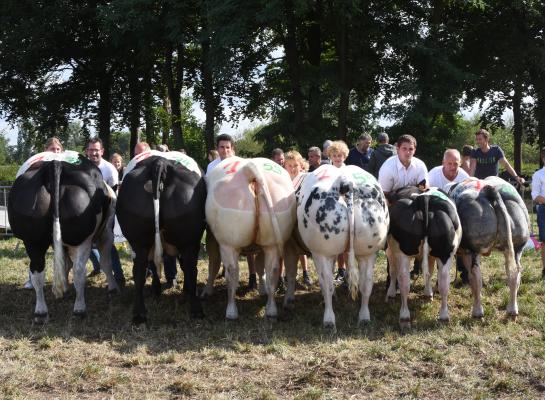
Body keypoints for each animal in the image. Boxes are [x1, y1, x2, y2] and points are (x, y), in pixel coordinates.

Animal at [7, 152, 118, 324]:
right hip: (82, 240)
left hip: (33, 241)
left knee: (37, 271)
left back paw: (41, 312)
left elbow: (64, 264)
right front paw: (112, 288)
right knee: (79, 271)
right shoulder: (106, 233)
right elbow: (106, 262)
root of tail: (55, 164)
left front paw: (64, 287)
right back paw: (79, 309)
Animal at [117, 152, 206, 324]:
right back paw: (196, 309)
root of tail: (161, 162)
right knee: (191, 269)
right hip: (190, 241)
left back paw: (139, 315)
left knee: (139, 271)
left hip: (138, 241)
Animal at [296, 164, 388, 326]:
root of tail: (345, 183)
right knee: (366, 282)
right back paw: (364, 317)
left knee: (327, 284)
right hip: (369, 251)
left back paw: (329, 319)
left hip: (322, 251)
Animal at [384, 186, 462, 326]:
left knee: (403, 281)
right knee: (444, 283)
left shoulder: (390, 251)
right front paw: (428, 293)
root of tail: (424, 198)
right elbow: (430, 272)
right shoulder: (432, 255)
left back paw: (404, 316)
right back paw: (443, 316)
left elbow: (392, 271)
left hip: (404, 253)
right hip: (445, 253)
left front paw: (391, 293)